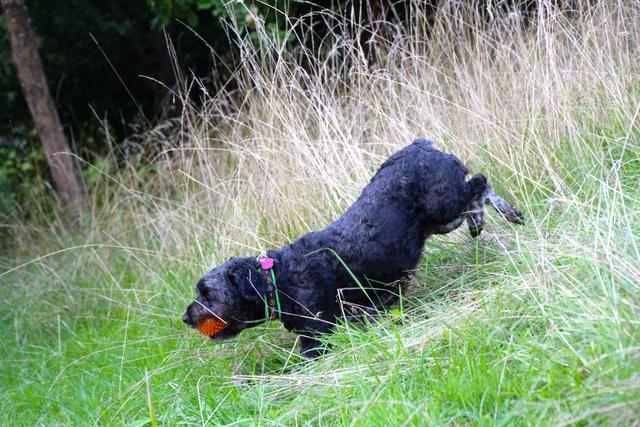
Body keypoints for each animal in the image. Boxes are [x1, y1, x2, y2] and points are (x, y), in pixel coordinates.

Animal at [182, 140, 524, 358]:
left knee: (479, 183)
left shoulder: (317, 335)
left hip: (444, 204)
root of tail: (421, 145)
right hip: (442, 220)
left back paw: (501, 215)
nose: (186, 317)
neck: (277, 279)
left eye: (207, 293)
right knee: (474, 195)